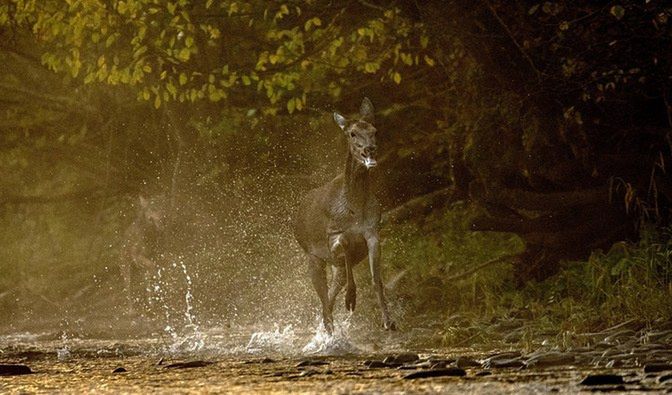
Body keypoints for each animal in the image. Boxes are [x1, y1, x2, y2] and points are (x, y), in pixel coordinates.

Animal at [292, 97, 394, 332]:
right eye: (352, 133)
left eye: (374, 130)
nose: (370, 149)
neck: (355, 208)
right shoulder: (333, 235)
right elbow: (346, 245)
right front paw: (351, 299)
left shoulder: (373, 231)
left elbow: (376, 279)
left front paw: (388, 321)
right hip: (312, 255)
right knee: (323, 298)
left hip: (331, 264)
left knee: (328, 299)